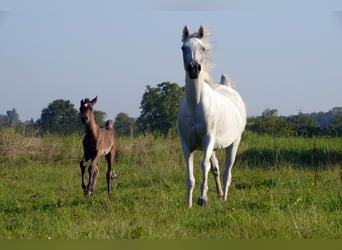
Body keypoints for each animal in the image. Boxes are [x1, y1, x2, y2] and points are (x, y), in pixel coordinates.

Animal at [176, 26, 246, 208]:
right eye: (183, 48)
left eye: (203, 48)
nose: (194, 68)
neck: (195, 104)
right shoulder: (186, 145)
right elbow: (190, 176)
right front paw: (189, 204)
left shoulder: (207, 139)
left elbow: (203, 165)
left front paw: (203, 199)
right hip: (214, 147)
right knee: (216, 169)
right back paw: (220, 195)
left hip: (234, 143)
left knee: (227, 172)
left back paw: (225, 197)